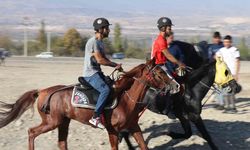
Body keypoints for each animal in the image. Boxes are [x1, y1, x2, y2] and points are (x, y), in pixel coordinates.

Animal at [0, 59, 177, 149]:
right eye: (160, 72)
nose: (176, 85)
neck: (125, 100)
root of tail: (42, 91)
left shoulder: (134, 127)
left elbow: (143, 145)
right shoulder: (113, 131)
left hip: (63, 122)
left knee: (62, 142)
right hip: (51, 122)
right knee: (31, 132)